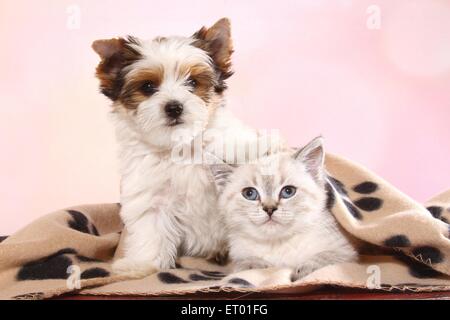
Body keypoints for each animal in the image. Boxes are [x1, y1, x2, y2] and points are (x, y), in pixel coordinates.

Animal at [92, 18, 282, 278]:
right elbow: (150, 229)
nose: (174, 107)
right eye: (148, 87)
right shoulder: (149, 196)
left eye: (192, 82)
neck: (181, 146)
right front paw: (142, 264)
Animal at [208, 138, 358, 280]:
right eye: (249, 194)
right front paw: (252, 265)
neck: (277, 245)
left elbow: (327, 258)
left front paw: (304, 269)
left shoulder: (345, 251)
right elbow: (242, 264)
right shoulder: (238, 254)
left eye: (288, 191)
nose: (269, 209)